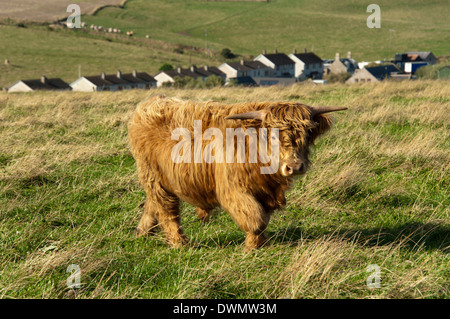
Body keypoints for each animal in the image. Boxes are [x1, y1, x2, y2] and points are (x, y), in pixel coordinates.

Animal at [128, 95, 346, 252]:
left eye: (307, 133)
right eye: (273, 135)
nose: (295, 166)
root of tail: (150, 103)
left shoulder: (265, 192)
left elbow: (262, 219)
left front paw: (259, 243)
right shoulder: (233, 190)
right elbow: (255, 218)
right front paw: (252, 247)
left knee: (153, 204)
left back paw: (143, 232)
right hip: (153, 175)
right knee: (167, 210)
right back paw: (179, 243)